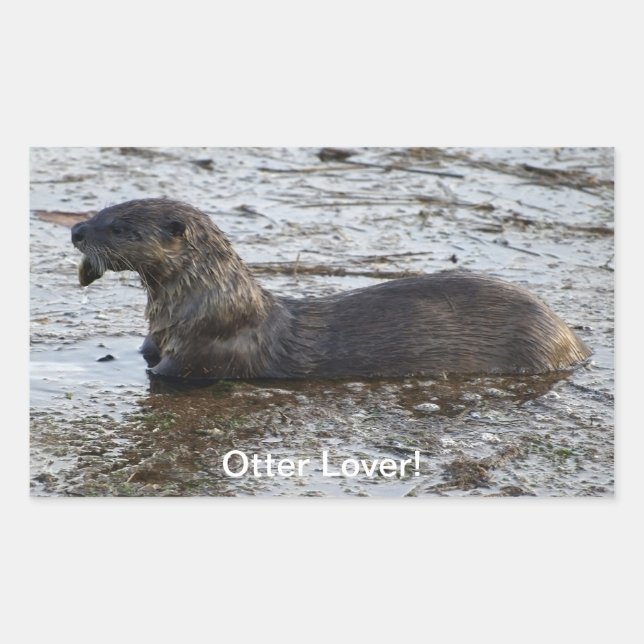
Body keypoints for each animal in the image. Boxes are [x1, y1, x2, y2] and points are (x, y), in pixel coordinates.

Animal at [71, 198, 591, 380]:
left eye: (118, 227)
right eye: (101, 209)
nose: (75, 229)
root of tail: (571, 340)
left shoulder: (205, 351)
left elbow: (167, 374)